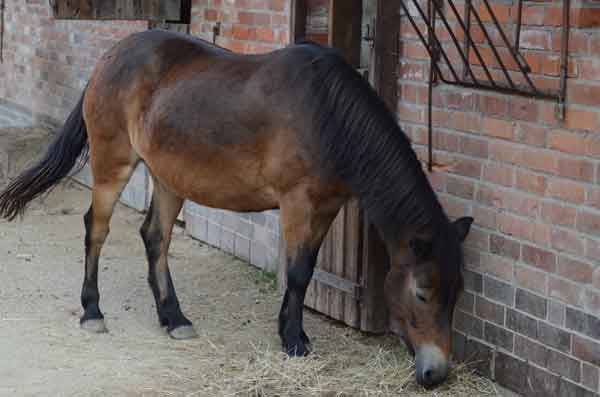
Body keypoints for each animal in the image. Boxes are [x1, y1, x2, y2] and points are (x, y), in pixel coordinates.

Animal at [0, 31, 474, 386]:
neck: (327, 113)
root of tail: (110, 56)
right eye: (422, 292)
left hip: (169, 176)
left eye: (457, 294)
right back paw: (93, 311)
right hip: (111, 163)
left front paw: (293, 333)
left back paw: (174, 317)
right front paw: (293, 342)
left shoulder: (327, 206)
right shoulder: (297, 202)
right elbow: (297, 272)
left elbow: (308, 270)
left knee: (155, 237)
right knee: (96, 229)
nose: (436, 374)